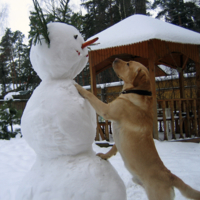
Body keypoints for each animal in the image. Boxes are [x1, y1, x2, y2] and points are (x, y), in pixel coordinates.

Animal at [74, 57, 200, 200]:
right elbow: (113, 149)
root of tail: (170, 176)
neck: (136, 92)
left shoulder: (106, 110)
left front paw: (79, 86)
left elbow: (91, 95)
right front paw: (105, 156)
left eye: (128, 64)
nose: (115, 58)